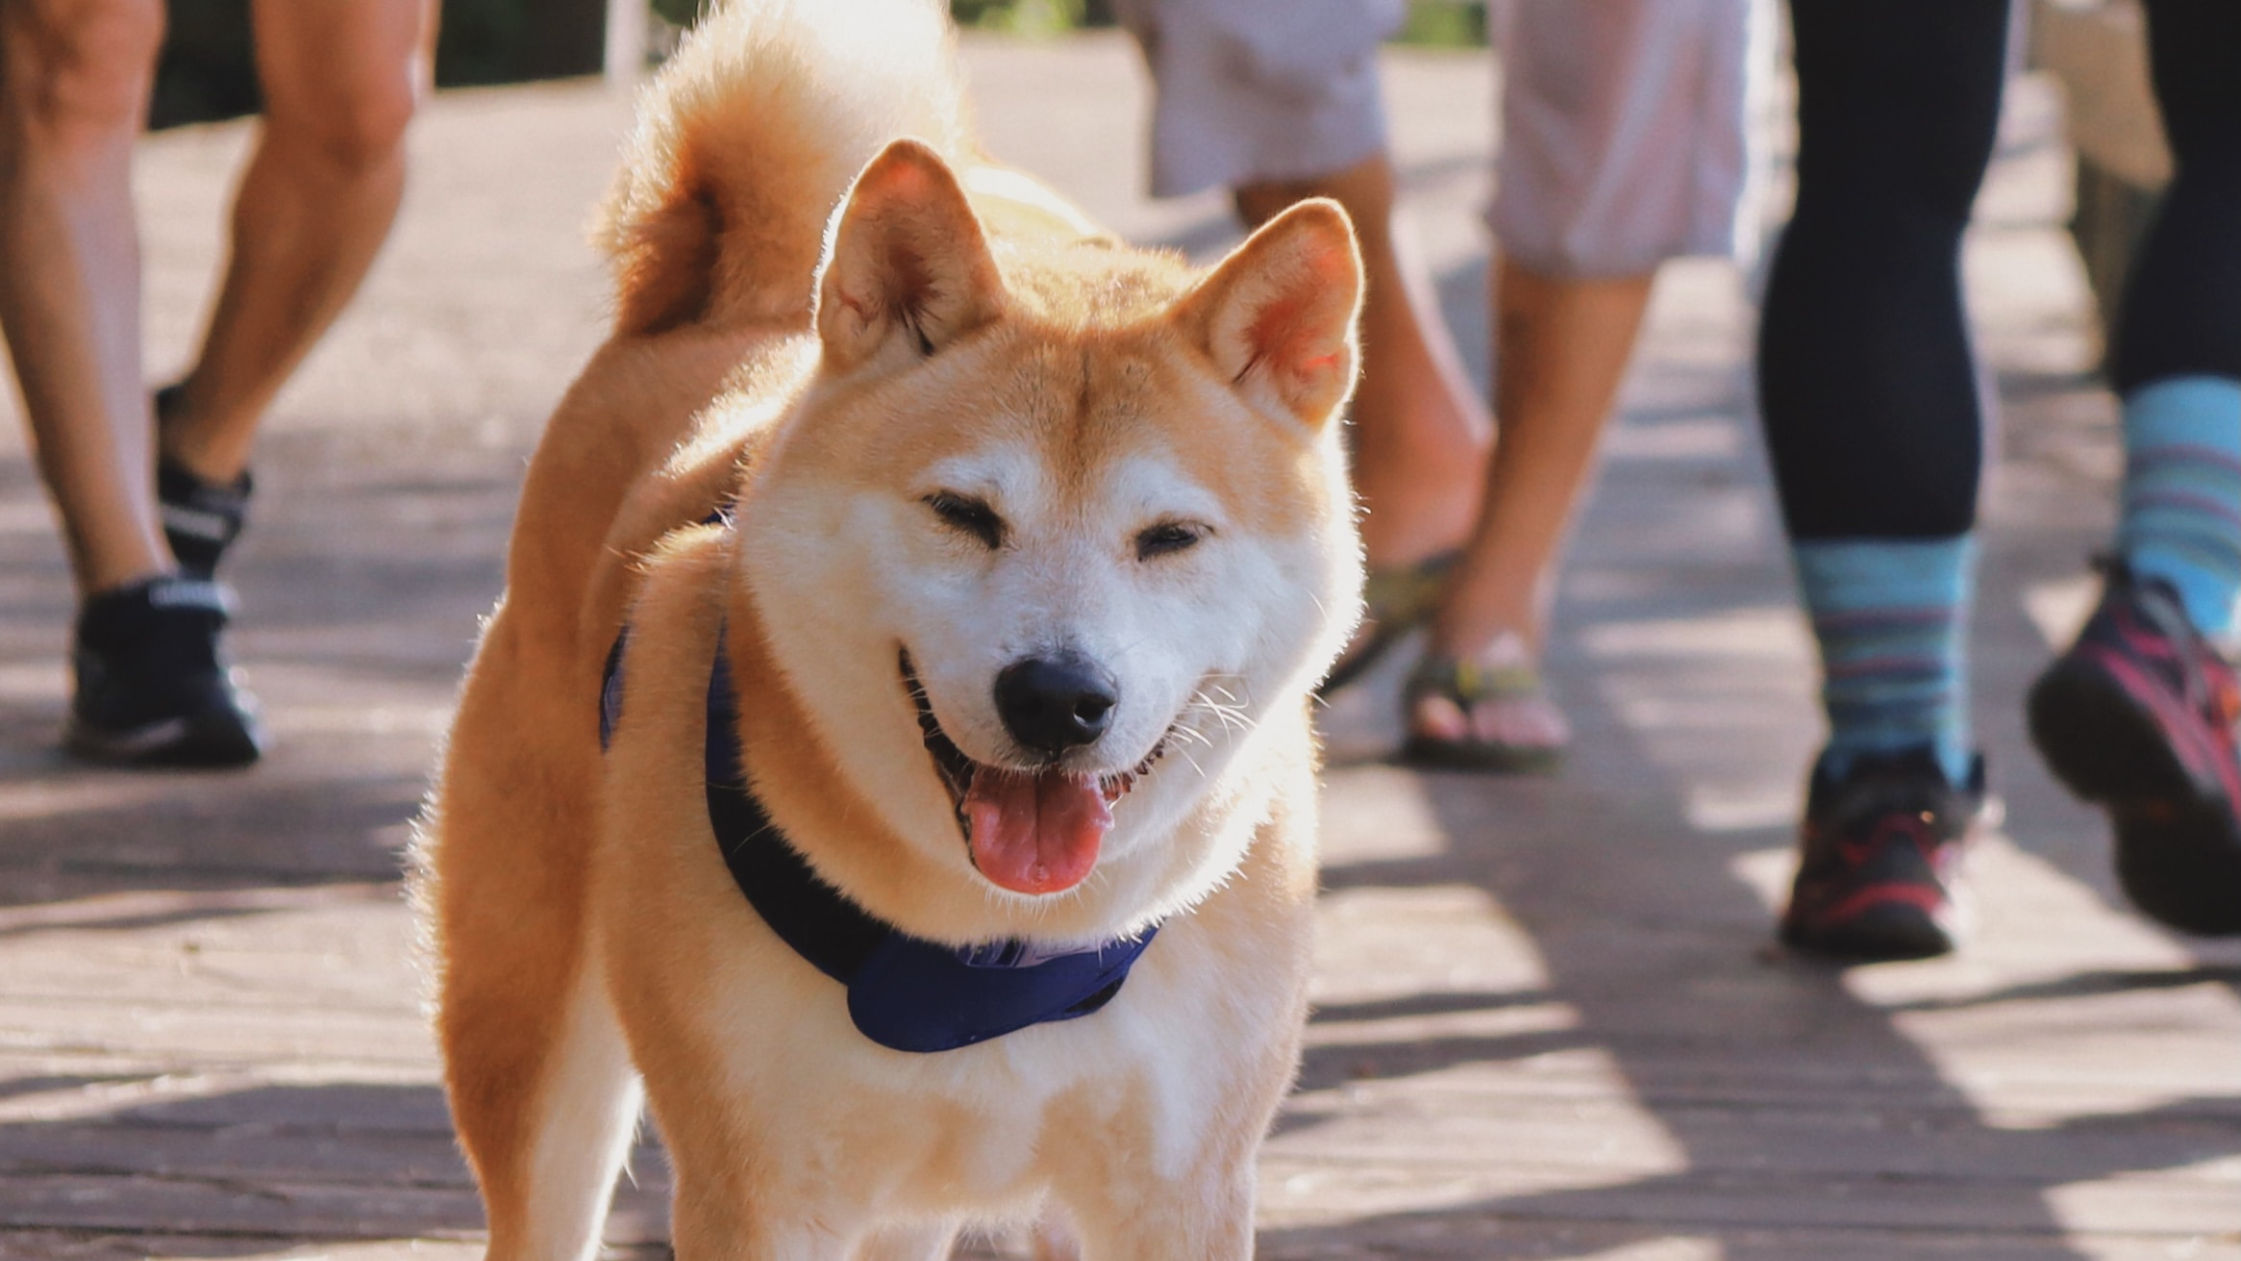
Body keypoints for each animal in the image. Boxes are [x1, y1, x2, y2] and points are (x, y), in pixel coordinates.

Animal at [416, 4, 1362, 1254]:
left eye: (1170, 537)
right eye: (963, 513)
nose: (1057, 698)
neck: (990, 954)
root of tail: (719, 310)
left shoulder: (1180, 1189)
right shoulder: (760, 1194)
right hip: (542, 1064)